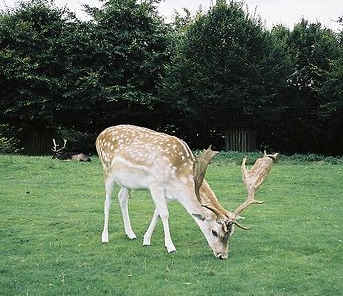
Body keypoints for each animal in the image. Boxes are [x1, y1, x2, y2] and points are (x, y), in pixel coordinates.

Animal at [95, 125, 278, 260]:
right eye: (214, 231)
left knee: (122, 198)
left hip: (126, 182)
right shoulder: (155, 184)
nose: (222, 255)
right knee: (107, 201)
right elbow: (165, 214)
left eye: (231, 233)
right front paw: (170, 247)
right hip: (107, 171)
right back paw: (105, 237)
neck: (178, 179)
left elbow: (157, 213)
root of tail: (99, 135)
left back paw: (131, 234)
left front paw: (146, 240)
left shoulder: (167, 193)